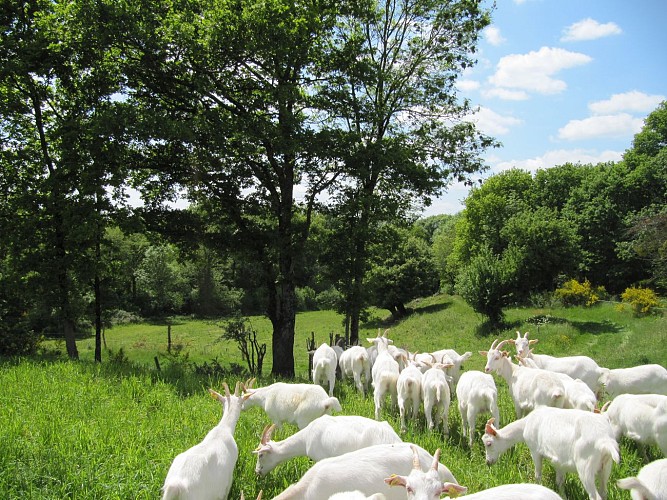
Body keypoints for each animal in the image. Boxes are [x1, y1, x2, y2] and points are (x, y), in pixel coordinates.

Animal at [483, 407, 620, 500]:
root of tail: (605, 440)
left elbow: (538, 474)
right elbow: (559, 481)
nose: (488, 462)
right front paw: (562, 495)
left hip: (585, 466)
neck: (526, 424)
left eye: (488, 443)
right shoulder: (559, 461)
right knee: (604, 492)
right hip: (606, 466)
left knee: (595, 496)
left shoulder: (534, 450)